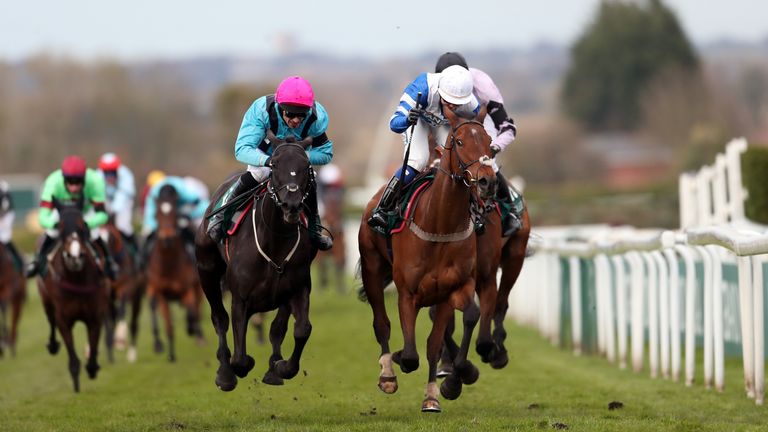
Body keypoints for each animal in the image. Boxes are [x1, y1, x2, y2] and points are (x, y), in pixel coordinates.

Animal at [37, 202, 111, 392]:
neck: (76, 278)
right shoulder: (63, 319)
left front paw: (93, 367)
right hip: (46, 302)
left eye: (83, 225)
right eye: (60, 227)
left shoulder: (95, 317)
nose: (75, 257)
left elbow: (92, 353)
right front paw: (76, 385)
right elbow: (73, 360)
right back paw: (52, 345)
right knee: (50, 321)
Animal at [104, 215, 145, 362]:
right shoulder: (106, 294)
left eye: (111, 237)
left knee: (133, 323)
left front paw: (120, 339)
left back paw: (131, 354)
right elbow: (109, 319)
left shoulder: (127, 287)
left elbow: (121, 310)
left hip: (138, 296)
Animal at [145, 184, 202, 362]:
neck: (169, 265)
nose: (168, 239)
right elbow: (168, 326)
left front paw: (191, 329)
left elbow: (191, 312)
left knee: (197, 308)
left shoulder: (188, 289)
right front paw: (170, 354)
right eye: (157, 214)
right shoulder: (161, 293)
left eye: (175, 213)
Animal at [198, 135, 318, 392]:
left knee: (276, 329)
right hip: (207, 272)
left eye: (306, 167)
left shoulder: (298, 288)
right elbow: (240, 359)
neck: (274, 242)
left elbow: (300, 330)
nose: (292, 204)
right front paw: (235, 368)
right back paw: (225, 374)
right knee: (219, 319)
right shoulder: (240, 299)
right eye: (274, 165)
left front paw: (281, 367)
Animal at [356, 107, 496, 412]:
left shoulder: (451, 289)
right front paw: (398, 360)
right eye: (459, 142)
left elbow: (441, 338)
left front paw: (441, 390)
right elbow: (410, 355)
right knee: (381, 324)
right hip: (372, 270)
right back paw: (387, 372)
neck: (439, 225)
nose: (487, 181)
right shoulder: (407, 293)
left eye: (490, 142)